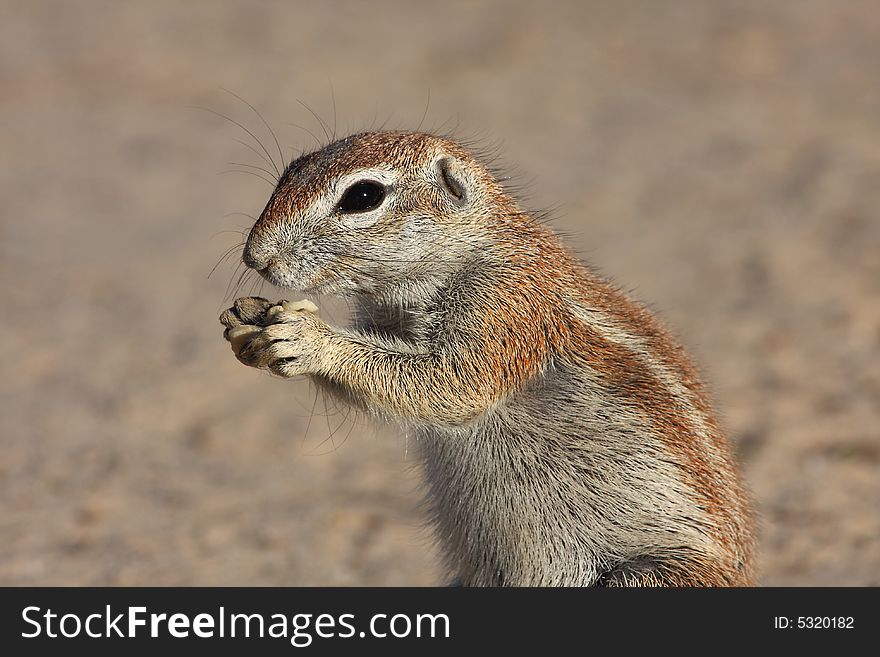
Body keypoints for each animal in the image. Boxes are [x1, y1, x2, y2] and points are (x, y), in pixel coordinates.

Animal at [218, 128, 756, 584]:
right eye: (291, 170)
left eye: (363, 197)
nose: (254, 257)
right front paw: (249, 322)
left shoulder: (504, 309)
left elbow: (452, 385)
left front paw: (307, 337)